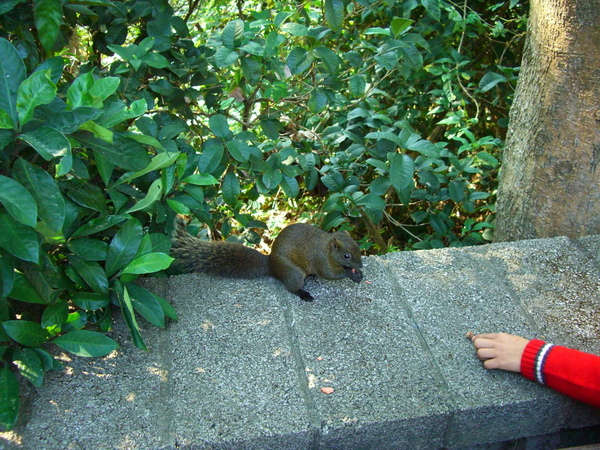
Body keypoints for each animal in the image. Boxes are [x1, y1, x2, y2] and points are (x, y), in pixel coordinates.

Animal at [171, 220, 364, 300]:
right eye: (346, 256)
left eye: (358, 246)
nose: (360, 265)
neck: (326, 247)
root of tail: (270, 265)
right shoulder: (321, 260)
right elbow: (330, 274)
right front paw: (351, 273)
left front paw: (358, 272)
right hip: (294, 273)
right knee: (291, 287)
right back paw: (304, 294)